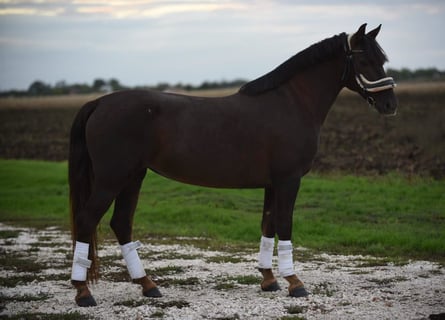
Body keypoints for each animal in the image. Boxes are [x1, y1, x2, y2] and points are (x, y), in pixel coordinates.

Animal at [68, 23, 396, 306]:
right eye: (364, 60)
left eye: (382, 59)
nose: (391, 105)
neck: (292, 103)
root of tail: (99, 103)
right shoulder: (289, 180)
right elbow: (285, 225)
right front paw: (294, 283)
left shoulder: (272, 183)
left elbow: (268, 225)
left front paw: (269, 280)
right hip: (112, 179)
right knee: (87, 220)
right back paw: (83, 292)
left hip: (133, 177)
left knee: (121, 223)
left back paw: (148, 286)